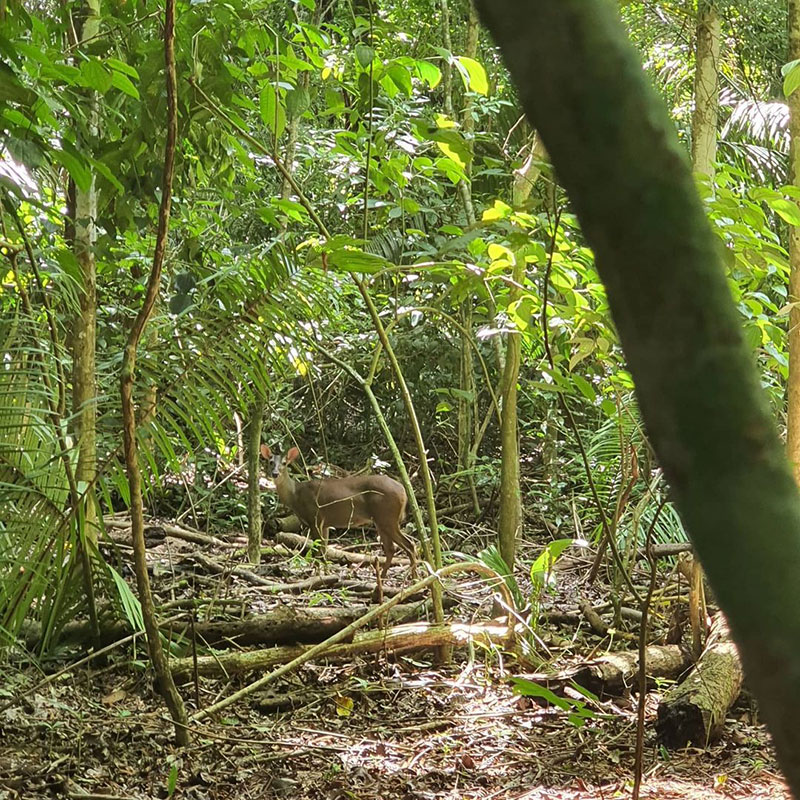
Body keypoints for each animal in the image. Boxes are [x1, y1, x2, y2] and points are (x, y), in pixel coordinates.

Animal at [262, 446, 418, 580]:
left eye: (284, 463)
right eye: (270, 462)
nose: (275, 473)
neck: (295, 495)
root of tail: (403, 490)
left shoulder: (314, 518)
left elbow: (318, 550)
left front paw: (317, 575)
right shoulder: (324, 523)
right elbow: (324, 549)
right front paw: (326, 573)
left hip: (387, 517)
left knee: (409, 545)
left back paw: (413, 578)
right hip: (381, 520)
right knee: (391, 548)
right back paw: (383, 577)